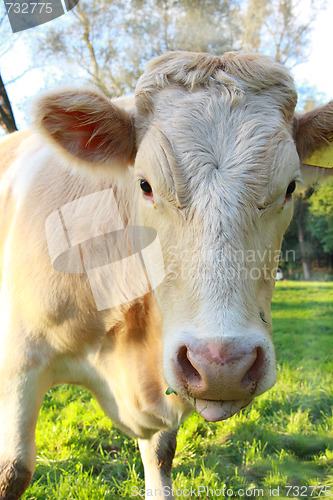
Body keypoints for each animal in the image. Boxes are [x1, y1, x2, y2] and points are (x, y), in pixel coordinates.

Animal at [0, 51, 332, 500]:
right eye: (145, 184)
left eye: (291, 187)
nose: (222, 366)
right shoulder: (20, 363)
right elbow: (13, 471)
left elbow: (160, 459)